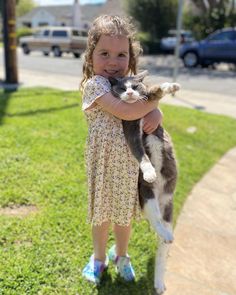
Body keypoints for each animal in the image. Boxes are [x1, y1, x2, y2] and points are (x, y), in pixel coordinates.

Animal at [109, 72, 180, 295]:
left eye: (134, 86)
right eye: (122, 88)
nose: (130, 93)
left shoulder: (147, 105)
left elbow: (153, 92)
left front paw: (171, 86)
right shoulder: (130, 131)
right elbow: (142, 156)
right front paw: (149, 172)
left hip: (167, 206)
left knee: (162, 249)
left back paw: (159, 280)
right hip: (146, 196)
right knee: (155, 220)